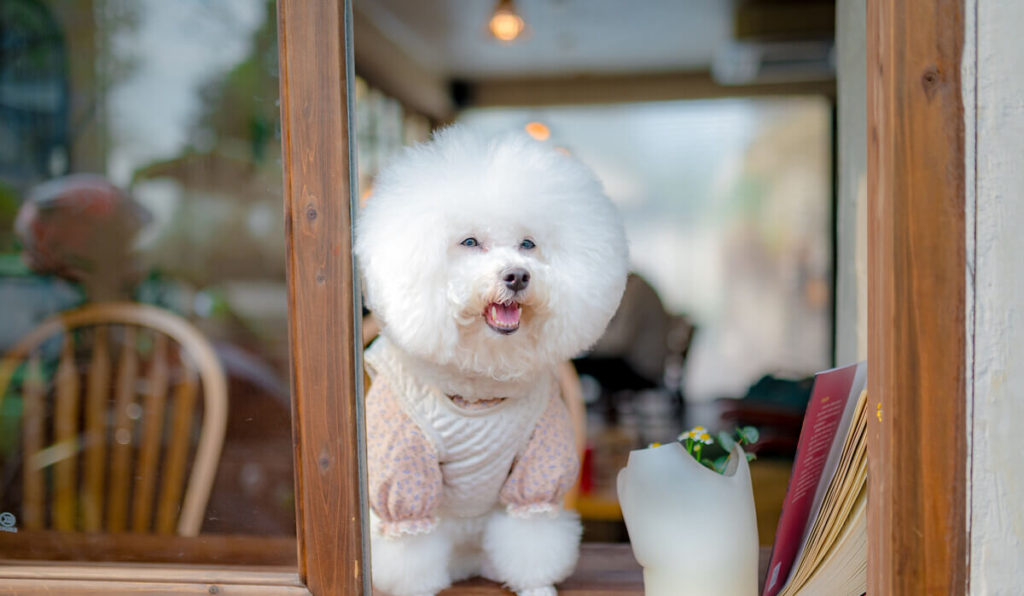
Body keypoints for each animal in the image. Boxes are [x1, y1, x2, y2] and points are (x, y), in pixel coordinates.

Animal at [360, 127, 626, 596]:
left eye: (528, 243)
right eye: (469, 242)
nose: (517, 275)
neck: (477, 389)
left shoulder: (538, 467)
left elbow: (532, 537)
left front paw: (536, 587)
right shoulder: (404, 476)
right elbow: (411, 550)